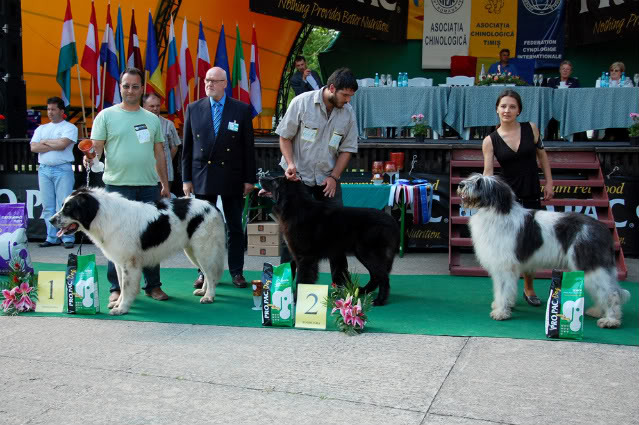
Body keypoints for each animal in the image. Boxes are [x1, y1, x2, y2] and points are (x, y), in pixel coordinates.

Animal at [50, 189, 225, 314]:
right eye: (63, 206)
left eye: (69, 208)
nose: (51, 220)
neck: (102, 216)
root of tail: (212, 206)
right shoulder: (119, 262)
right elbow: (121, 285)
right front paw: (118, 303)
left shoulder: (129, 263)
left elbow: (127, 287)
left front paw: (122, 308)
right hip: (192, 251)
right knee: (207, 273)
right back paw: (203, 291)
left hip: (203, 249)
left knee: (210, 273)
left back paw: (209, 296)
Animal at [260, 176, 400, 304]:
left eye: (275, 181)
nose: (260, 177)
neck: (295, 207)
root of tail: (392, 221)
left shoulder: (305, 257)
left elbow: (301, 279)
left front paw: (297, 300)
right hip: (363, 253)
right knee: (376, 276)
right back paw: (362, 291)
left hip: (367, 253)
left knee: (383, 277)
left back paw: (380, 300)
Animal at [458, 173, 632, 328]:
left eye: (479, 183)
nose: (460, 184)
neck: (496, 212)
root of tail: (602, 229)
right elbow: (504, 289)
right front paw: (502, 305)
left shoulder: (504, 266)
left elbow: (503, 288)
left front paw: (501, 312)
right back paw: (597, 311)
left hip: (591, 265)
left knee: (611, 294)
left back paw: (610, 320)